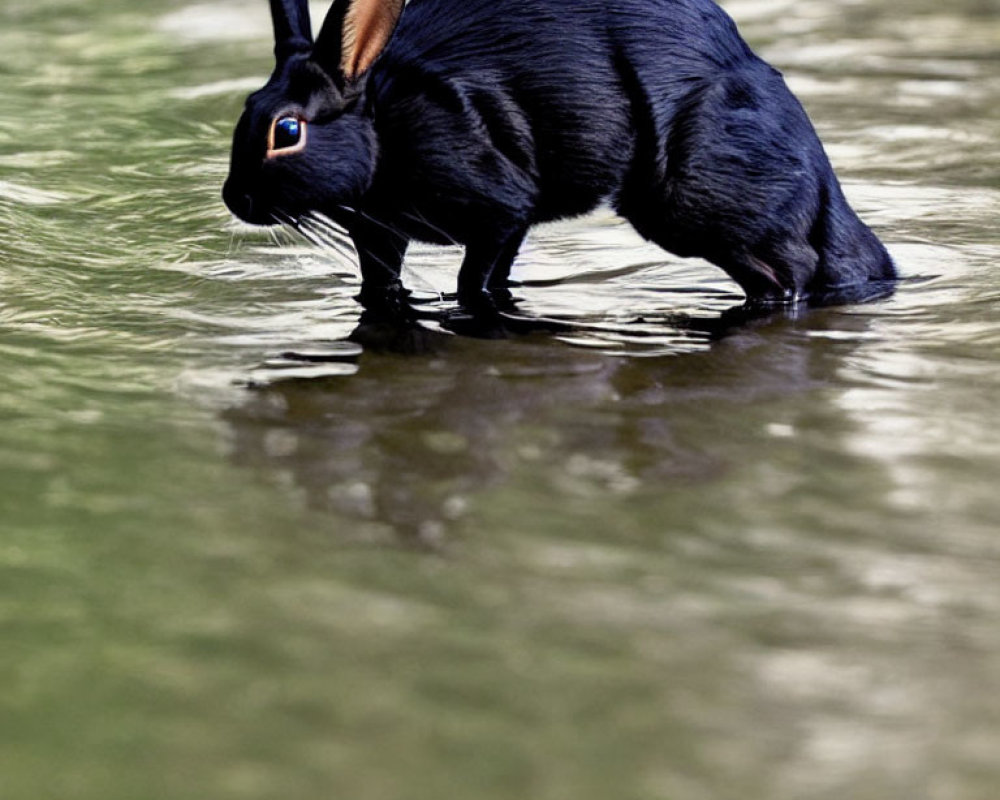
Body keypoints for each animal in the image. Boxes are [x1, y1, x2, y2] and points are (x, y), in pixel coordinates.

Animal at [223, 0, 896, 318]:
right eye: (248, 109)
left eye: (287, 130)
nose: (235, 198)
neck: (382, 129)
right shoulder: (381, 232)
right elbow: (384, 287)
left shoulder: (499, 209)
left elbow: (474, 282)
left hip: (690, 202)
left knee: (794, 267)